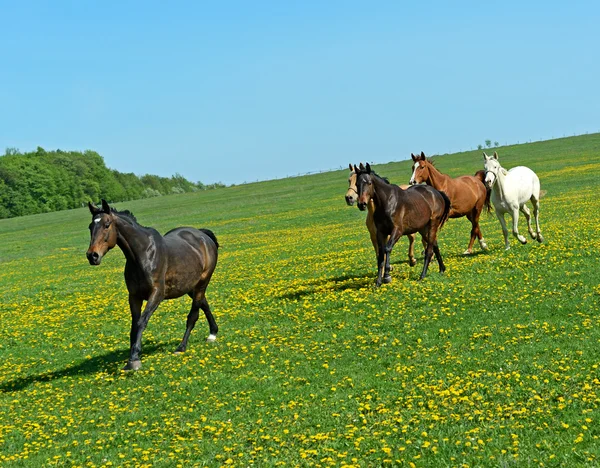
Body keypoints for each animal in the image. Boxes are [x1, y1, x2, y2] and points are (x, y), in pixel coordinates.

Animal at [85, 199, 219, 372]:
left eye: (107, 225)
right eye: (90, 226)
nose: (92, 256)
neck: (143, 255)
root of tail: (203, 236)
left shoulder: (156, 294)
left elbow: (142, 322)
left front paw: (134, 359)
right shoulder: (134, 296)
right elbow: (134, 325)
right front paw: (132, 357)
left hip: (202, 282)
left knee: (194, 314)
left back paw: (181, 347)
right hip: (190, 286)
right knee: (204, 304)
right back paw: (212, 333)